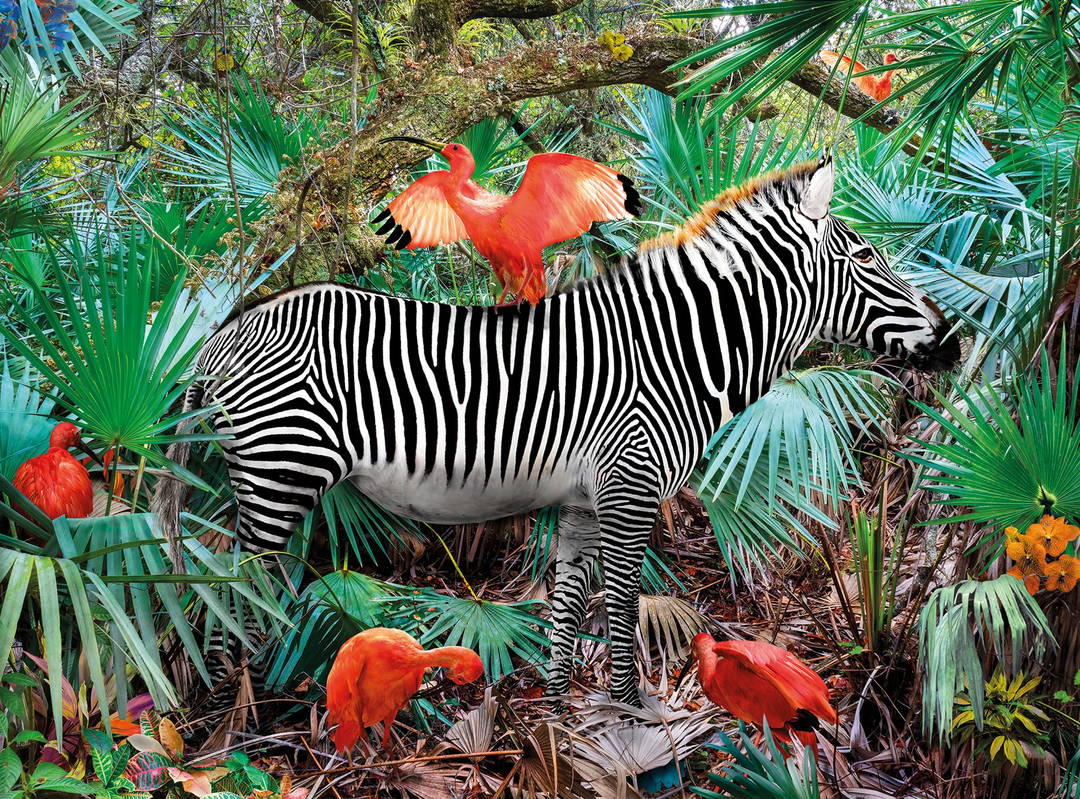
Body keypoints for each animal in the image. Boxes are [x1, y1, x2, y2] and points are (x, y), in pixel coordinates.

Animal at [155, 155, 959, 707]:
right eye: (867, 258)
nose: (954, 340)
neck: (674, 348)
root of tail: (224, 333)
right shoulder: (631, 489)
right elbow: (622, 605)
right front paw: (631, 711)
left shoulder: (583, 501)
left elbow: (570, 605)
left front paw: (558, 705)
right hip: (280, 471)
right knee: (231, 581)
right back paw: (235, 708)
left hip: (261, 477)